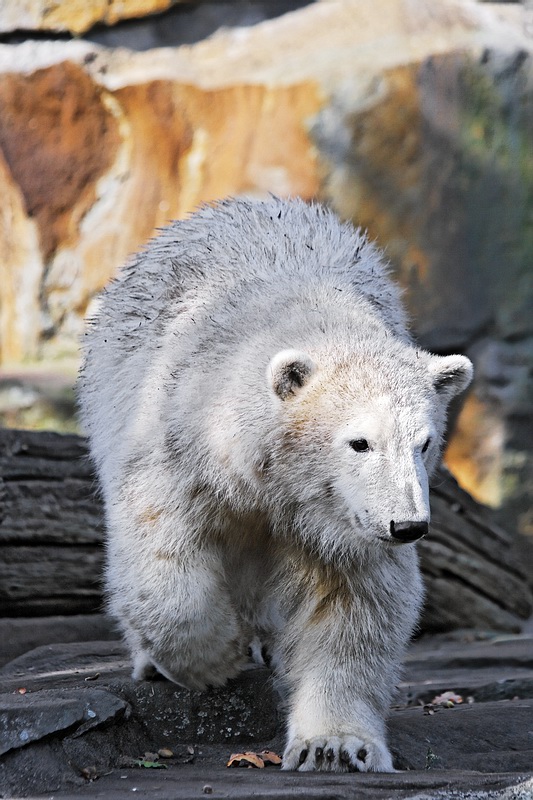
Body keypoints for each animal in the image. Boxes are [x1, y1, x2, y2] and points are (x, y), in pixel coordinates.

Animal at [78, 197, 470, 772]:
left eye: (424, 443)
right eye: (359, 443)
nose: (407, 526)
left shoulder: (343, 522)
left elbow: (350, 606)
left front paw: (334, 746)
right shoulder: (181, 451)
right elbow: (162, 553)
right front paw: (215, 660)